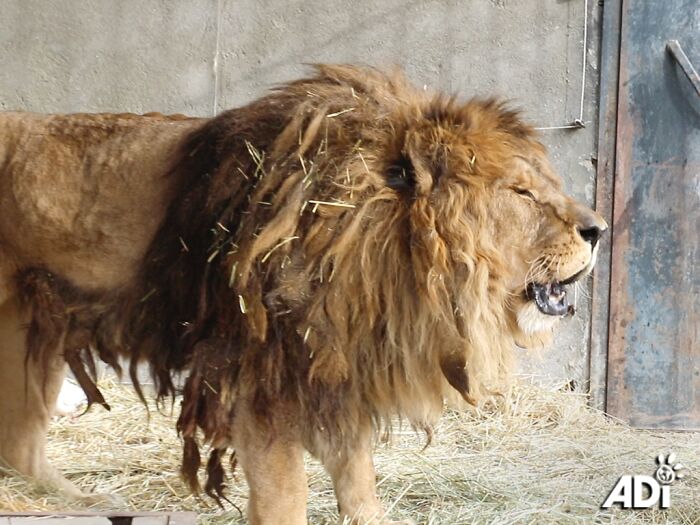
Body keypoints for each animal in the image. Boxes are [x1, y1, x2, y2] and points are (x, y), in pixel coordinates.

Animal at [0, 65, 606, 524]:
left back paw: (82, 498)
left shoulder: (336, 376)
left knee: (20, 446)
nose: (599, 230)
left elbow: (359, 483)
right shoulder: (265, 384)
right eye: (522, 193)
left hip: (36, 330)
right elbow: (285, 499)